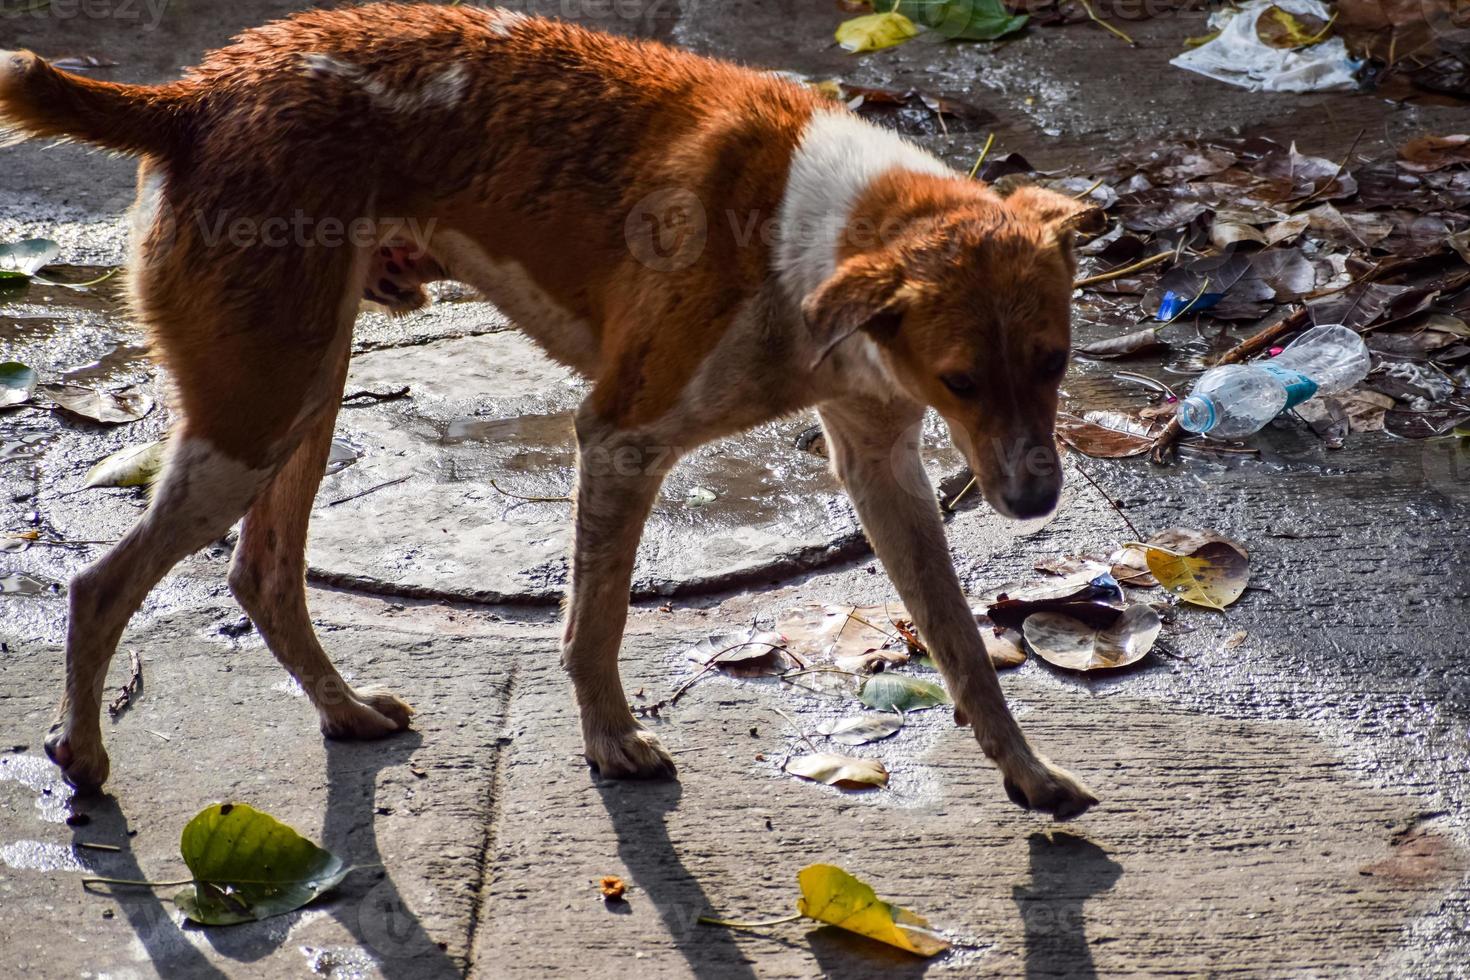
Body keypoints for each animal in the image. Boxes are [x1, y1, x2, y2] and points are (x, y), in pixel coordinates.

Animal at [2, 3, 1105, 822]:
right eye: (962, 381)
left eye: (1054, 361)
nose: (1035, 501)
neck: (816, 228)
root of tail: (194, 95)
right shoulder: (621, 435)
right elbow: (596, 621)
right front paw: (611, 741)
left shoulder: (883, 468)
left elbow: (963, 643)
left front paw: (1029, 772)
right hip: (254, 414)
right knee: (100, 587)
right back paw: (83, 753)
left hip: (304, 393)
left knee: (262, 575)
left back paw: (346, 711)